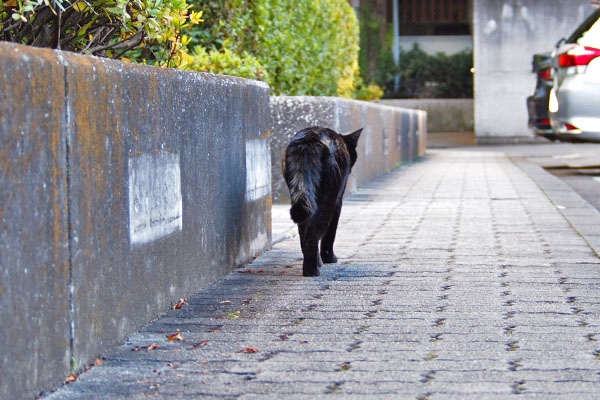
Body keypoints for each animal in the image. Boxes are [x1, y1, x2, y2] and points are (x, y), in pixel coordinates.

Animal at [282, 126, 360, 276]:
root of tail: (307, 141)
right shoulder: (338, 201)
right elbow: (330, 233)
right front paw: (329, 258)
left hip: (302, 198)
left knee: (304, 230)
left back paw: (312, 265)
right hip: (329, 198)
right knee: (315, 232)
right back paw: (312, 270)